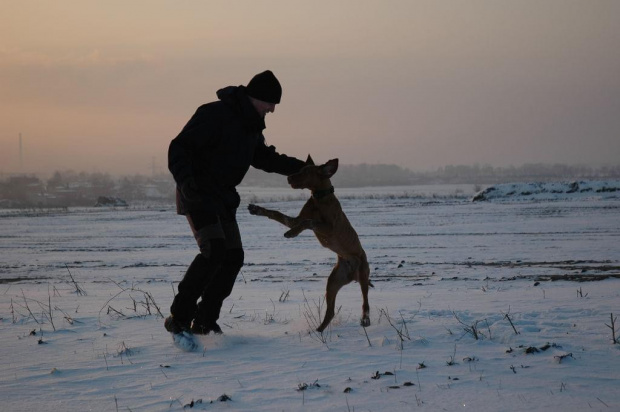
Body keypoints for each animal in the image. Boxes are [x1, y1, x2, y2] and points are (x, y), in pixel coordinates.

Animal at [248, 154, 372, 332]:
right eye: (300, 169)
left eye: (306, 172)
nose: (288, 177)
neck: (319, 197)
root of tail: (351, 274)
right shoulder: (294, 220)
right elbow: (278, 213)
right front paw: (258, 209)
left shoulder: (329, 227)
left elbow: (309, 221)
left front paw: (292, 233)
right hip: (333, 282)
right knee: (330, 312)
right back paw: (318, 331)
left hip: (362, 273)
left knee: (365, 302)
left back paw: (365, 319)